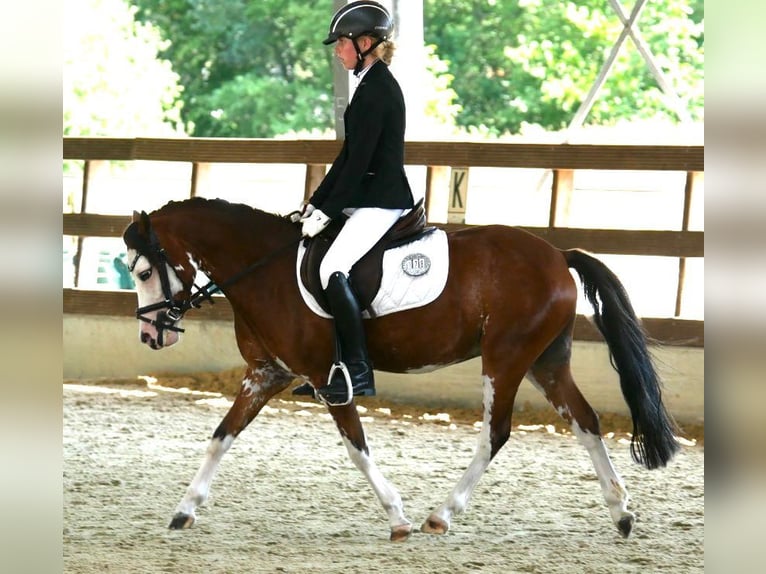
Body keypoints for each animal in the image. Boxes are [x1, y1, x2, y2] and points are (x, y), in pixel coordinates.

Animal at [122, 196, 679, 542]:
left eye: (145, 270)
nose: (152, 336)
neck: (264, 270)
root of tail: (558, 255)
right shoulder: (266, 375)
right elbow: (221, 436)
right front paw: (184, 509)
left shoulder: (328, 379)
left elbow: (356, 448)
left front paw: (397, 517)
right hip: (546, 361)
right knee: (586, 421)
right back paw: (621, 512)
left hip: (506, 357)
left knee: (496, 432)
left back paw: (441, 515)